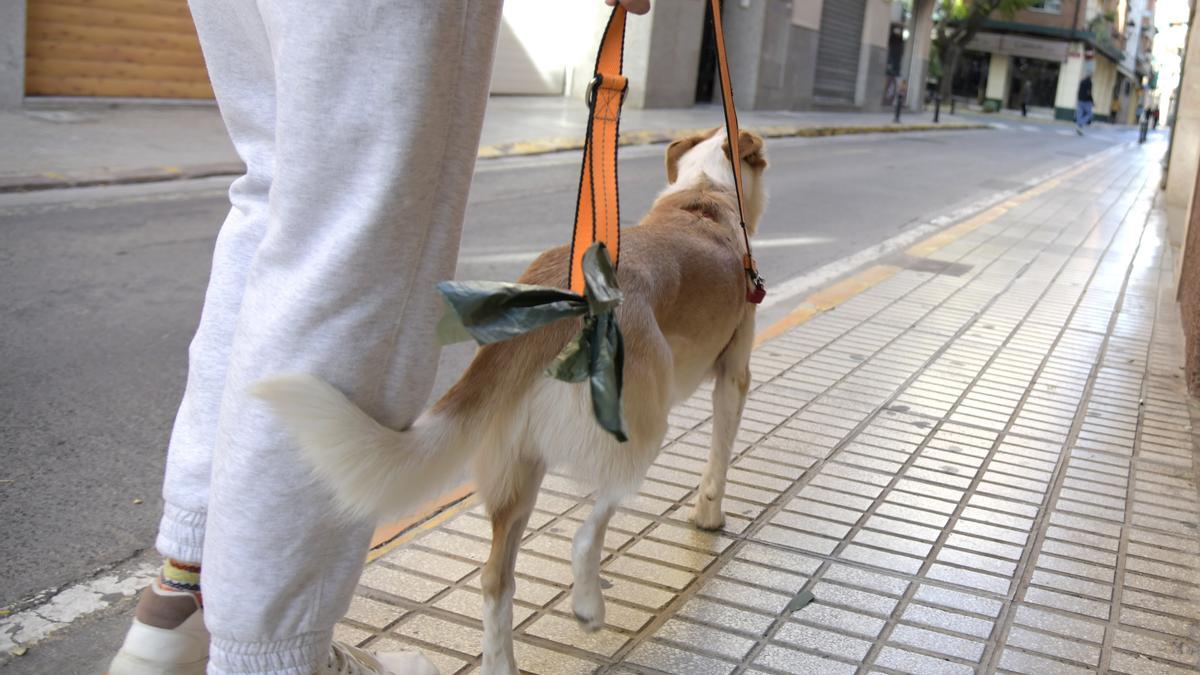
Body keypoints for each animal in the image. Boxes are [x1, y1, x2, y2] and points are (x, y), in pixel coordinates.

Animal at [252, 127, 768, 672]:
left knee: (495, 578)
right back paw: (588, 602)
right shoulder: (734, 376)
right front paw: (709, 517)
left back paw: (502, 660)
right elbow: (718, 460)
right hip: (638, 423)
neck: (705, 195)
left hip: (518, 462)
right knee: (591, 523)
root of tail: (554, 296)